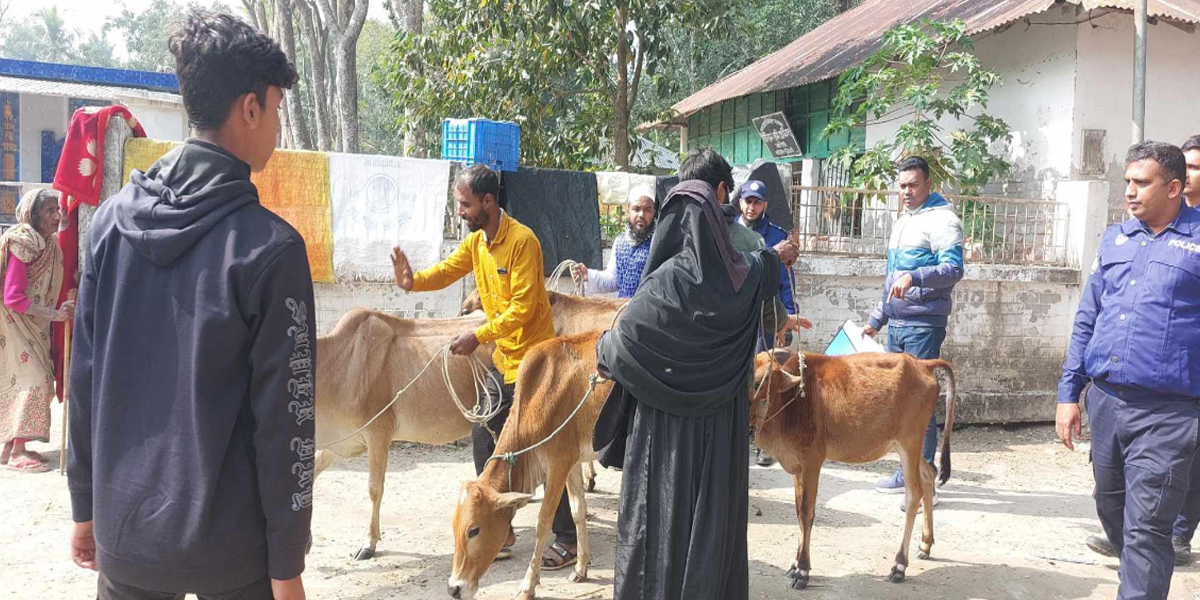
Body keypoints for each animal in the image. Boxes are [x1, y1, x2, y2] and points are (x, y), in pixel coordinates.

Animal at [446, 331, 609, 600]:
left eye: (474, 530)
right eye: (454, 526)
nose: (454, 588)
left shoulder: (558, 463)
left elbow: (544, 521)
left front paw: (528, 585)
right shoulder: (573, 461)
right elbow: (578, 511)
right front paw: (580, 568)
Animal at [748, 350, 955, 588]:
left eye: (757, 382)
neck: (793, 402)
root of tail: (923, 364)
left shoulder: (812, 461)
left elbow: (807, 513)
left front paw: (802, 570)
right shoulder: (797, 467)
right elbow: (799, 512)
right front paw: (794, 564)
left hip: (909, 441)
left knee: (914, 494)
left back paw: (899, 565)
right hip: (904, 445)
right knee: (929, 475)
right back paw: (925, 545)